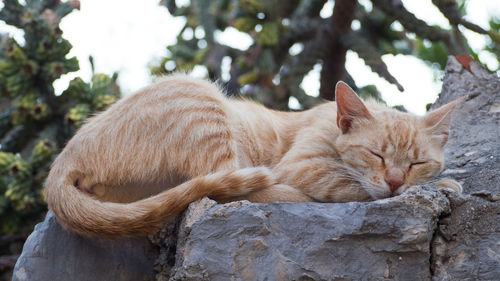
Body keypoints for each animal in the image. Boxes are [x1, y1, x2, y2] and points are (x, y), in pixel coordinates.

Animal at [43, 73, 464, 235]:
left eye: (417, 163)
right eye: (376, 154)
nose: (395, 181)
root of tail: (61, 164)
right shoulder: (300, 166)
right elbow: (353, 185)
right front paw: (440, 186)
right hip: (201, 100)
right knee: (228, 188)